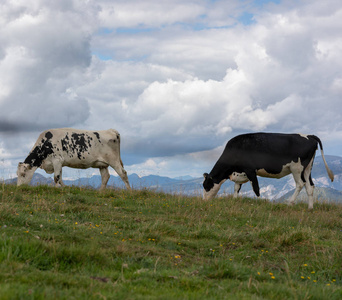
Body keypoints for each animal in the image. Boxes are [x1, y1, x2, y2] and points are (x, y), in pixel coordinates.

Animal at [203, 132, 334, 210]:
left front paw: (259, 202)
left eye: (206, 186)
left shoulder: (250, 170)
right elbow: (236, 188)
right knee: (310, 186)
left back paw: (290, 203)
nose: (204, 201)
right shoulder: (240, 173)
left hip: (296, 168)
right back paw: (310, 208)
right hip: (307, 168)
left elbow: (256, 188)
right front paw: (235, 200)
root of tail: (309, 136)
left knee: (300, 184)